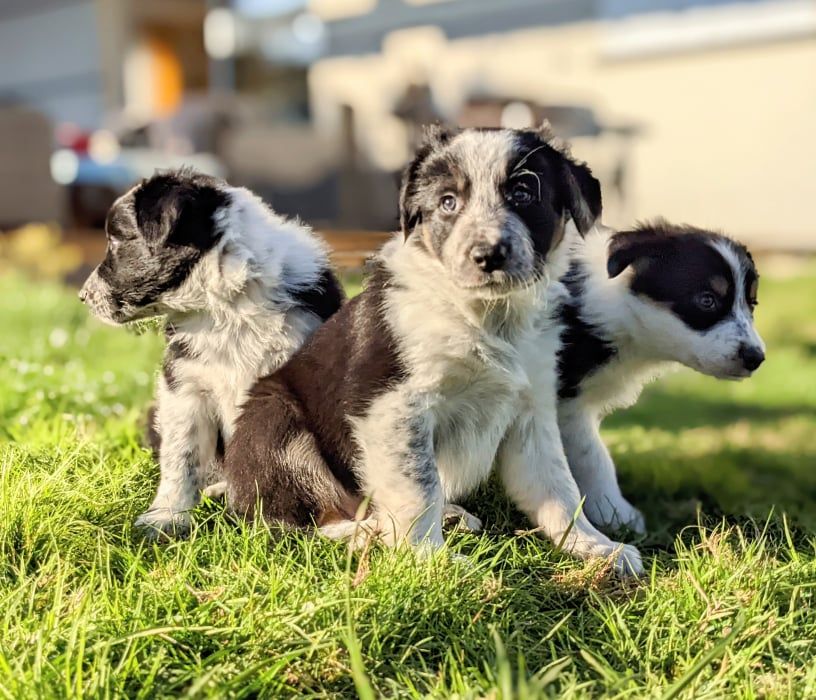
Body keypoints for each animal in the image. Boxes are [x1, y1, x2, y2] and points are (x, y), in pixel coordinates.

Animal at [83, 168, 348, 536]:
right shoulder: (184, 387)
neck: (227, 304)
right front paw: (166, 518)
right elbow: (181, 456)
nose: (82, 296)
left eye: (117, 241)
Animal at [222, 124, 644, 576]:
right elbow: (417, 488)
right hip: (276, 422)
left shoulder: (532, 409)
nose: (487, 255)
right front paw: (428, 560)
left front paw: (598, 547)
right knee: (298, 522)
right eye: (448, 202)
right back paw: (366, 533)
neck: (484, 317)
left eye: (523, 194)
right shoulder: (393, 405)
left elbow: (559, 488)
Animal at [556, 221, 764, 532]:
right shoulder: (566, 397)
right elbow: (593, 454)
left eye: (752, 303)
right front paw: (617, 513)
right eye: (707, 300)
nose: (756, 358)